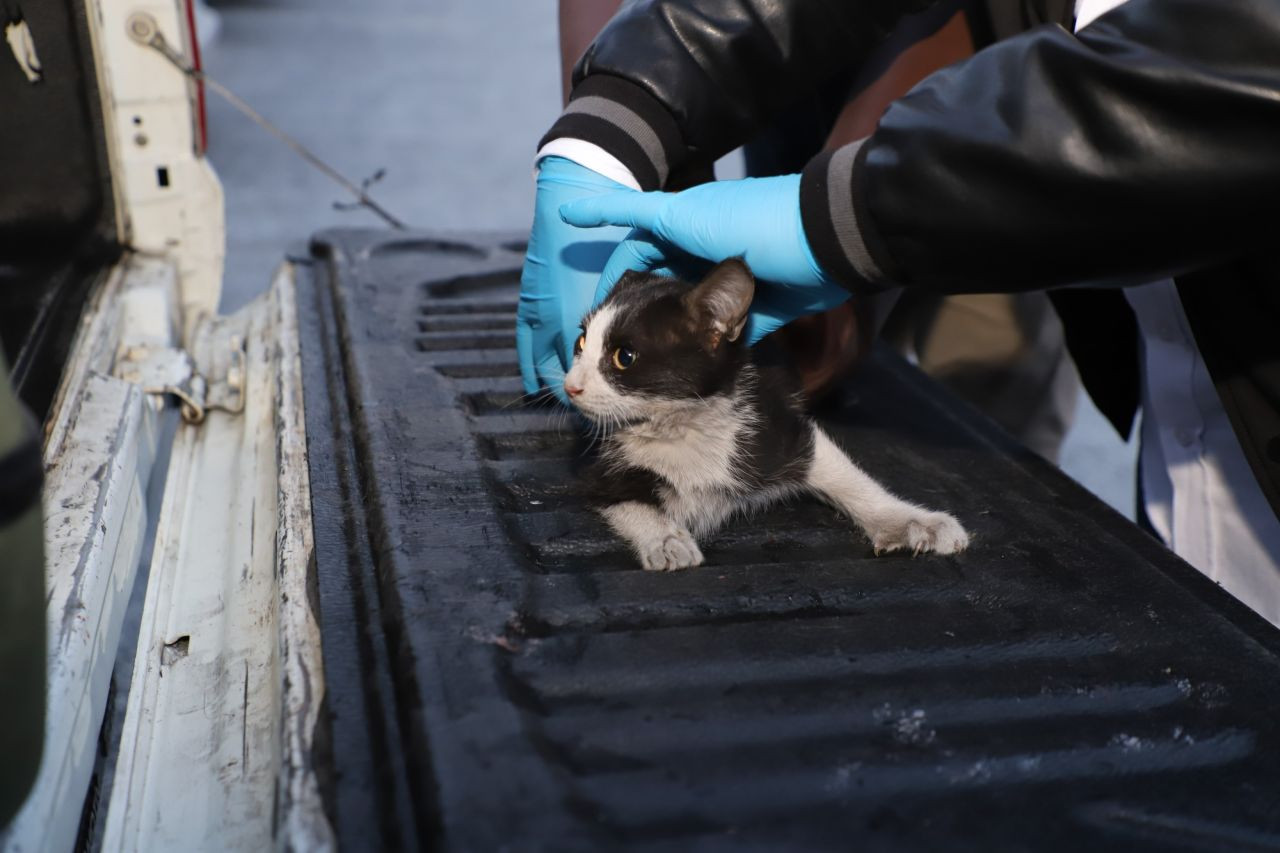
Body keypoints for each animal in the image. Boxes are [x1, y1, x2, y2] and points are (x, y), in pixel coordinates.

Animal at [563, 256, 967, 568]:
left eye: (624, 356)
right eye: (580, 342)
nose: (570, 386)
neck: (682, 424)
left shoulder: (777, 422)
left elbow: (844, 473)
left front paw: (913, 521)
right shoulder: (601, 472)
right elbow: (628, 501)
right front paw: (666, 540)